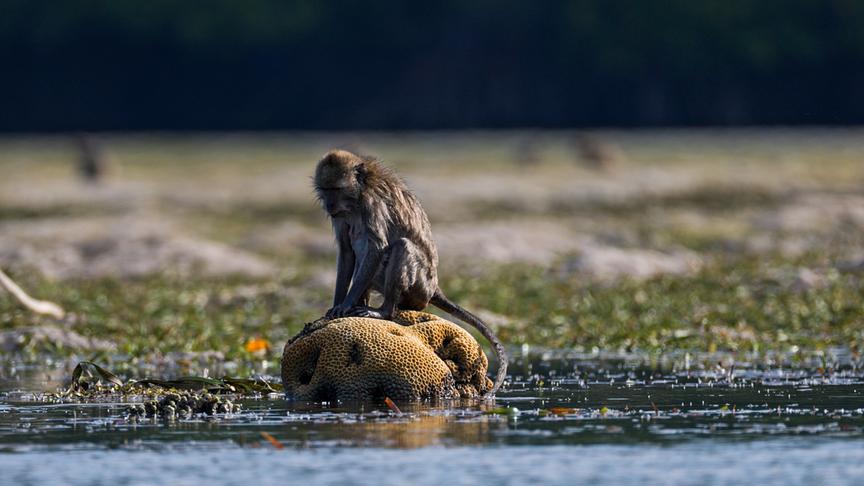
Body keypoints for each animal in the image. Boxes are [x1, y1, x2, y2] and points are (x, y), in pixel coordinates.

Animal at [313, 149, 508, 396]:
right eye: (325, 189)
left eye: (336, 189)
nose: (329, 205)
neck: (357, 197)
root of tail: (434, 288)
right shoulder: (342, 215)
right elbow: (347, 252)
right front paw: (337, 306)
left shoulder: (371, 204)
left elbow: (377, 247)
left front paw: (346, 304)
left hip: (418, 286)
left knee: (401, 247)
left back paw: (383, 312)